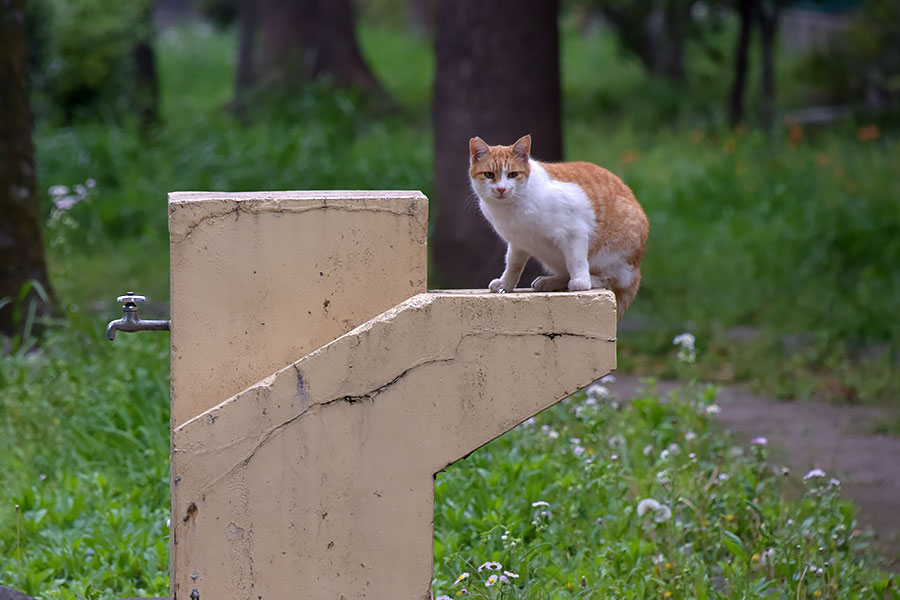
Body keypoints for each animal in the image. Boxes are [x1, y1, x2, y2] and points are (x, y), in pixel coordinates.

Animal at [472, 131, 648, 318]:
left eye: (512, 174)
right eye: (489, 174)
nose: (501, 189)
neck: (510, 208)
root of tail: (637, 273)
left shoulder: (574, 232)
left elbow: (576, 261)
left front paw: (581, 282)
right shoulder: (519, 242)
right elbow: (513, 265)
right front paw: (505, 284)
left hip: (612, 255)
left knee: (609, 279)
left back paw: (588, 280)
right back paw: (551, 281)